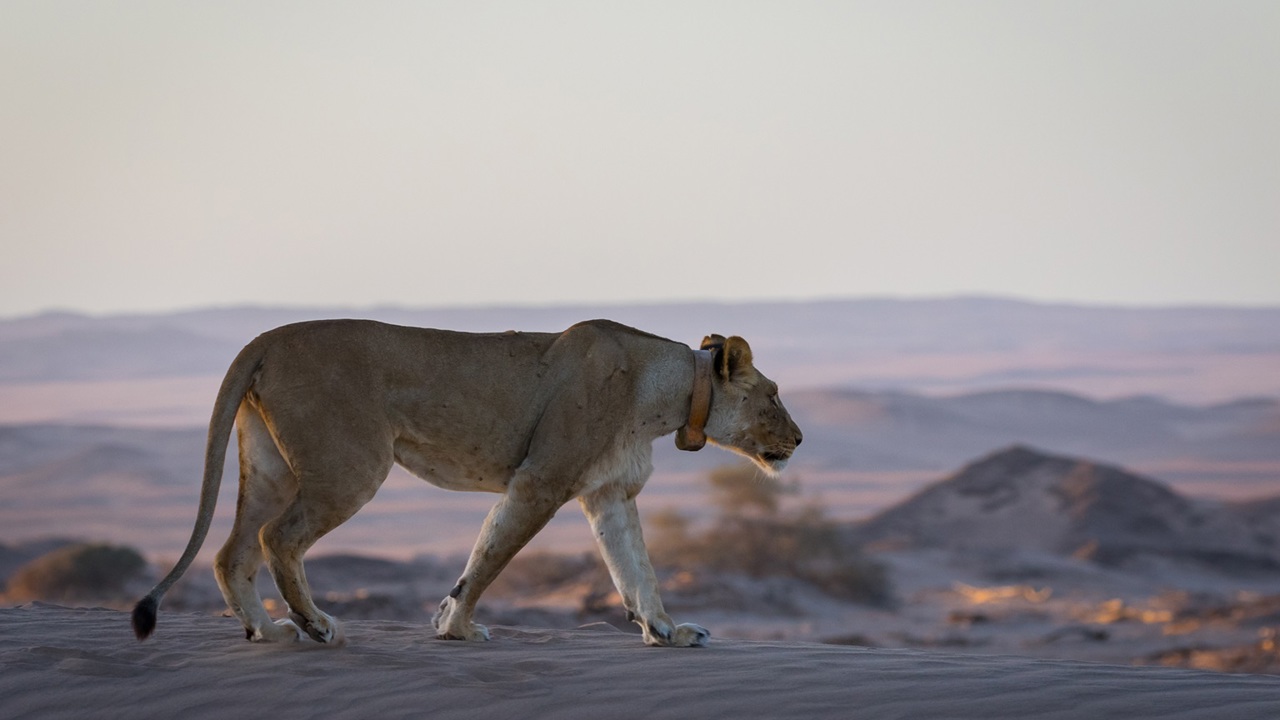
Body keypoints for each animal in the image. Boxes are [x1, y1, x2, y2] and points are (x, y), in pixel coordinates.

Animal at [131, 319, 802, 647]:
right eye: (773, 394)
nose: (798, 439)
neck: (667, 391)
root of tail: (266, 338)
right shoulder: (541, 480)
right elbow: (488, 556)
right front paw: (455, 628)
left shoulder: (609, 493)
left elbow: (636, 570)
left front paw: (666, 631)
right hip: (350, 466)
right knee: (278, 538)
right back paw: (316, 624)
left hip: (271, 468)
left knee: (230, 551)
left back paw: (268, 631)